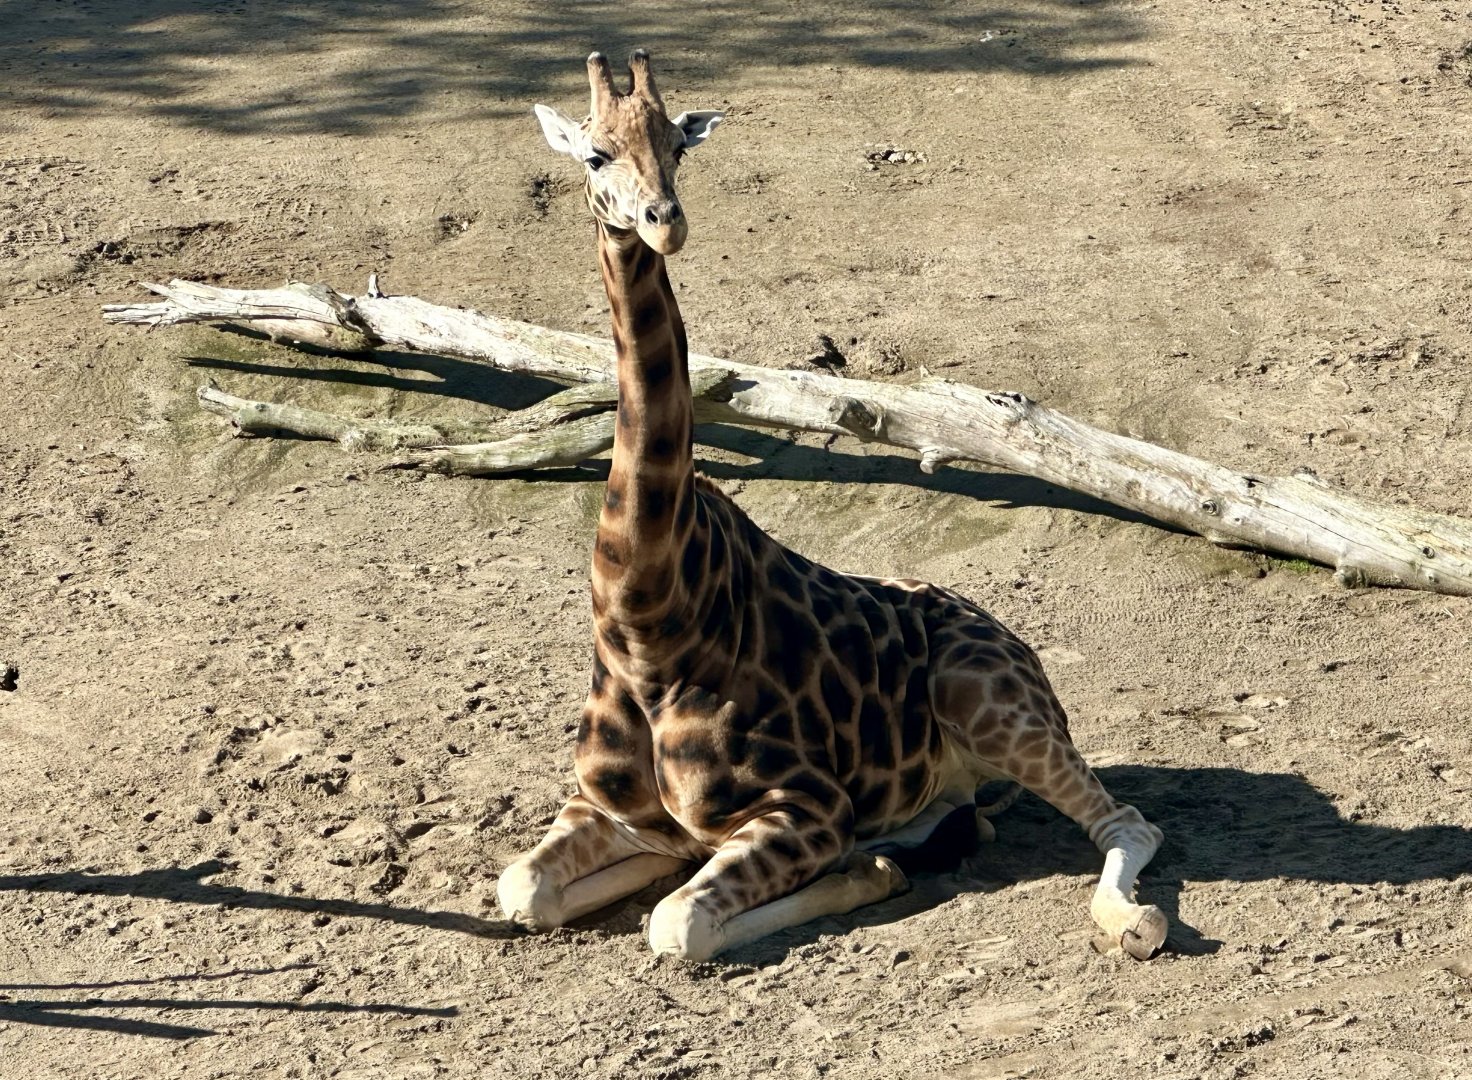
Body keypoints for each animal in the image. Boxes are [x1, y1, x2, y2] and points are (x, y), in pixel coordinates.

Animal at [496, 50, 1169, 962]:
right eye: (596, 154)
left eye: (678, 147)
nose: (665, 222)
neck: (644, 617)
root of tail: (1014, 641)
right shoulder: (610, 809)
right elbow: (525, 887)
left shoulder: (806, 805)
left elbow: (678, 924)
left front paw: (855, 873)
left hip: (988, 702)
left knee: (1130, 823)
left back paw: (1128, 920)